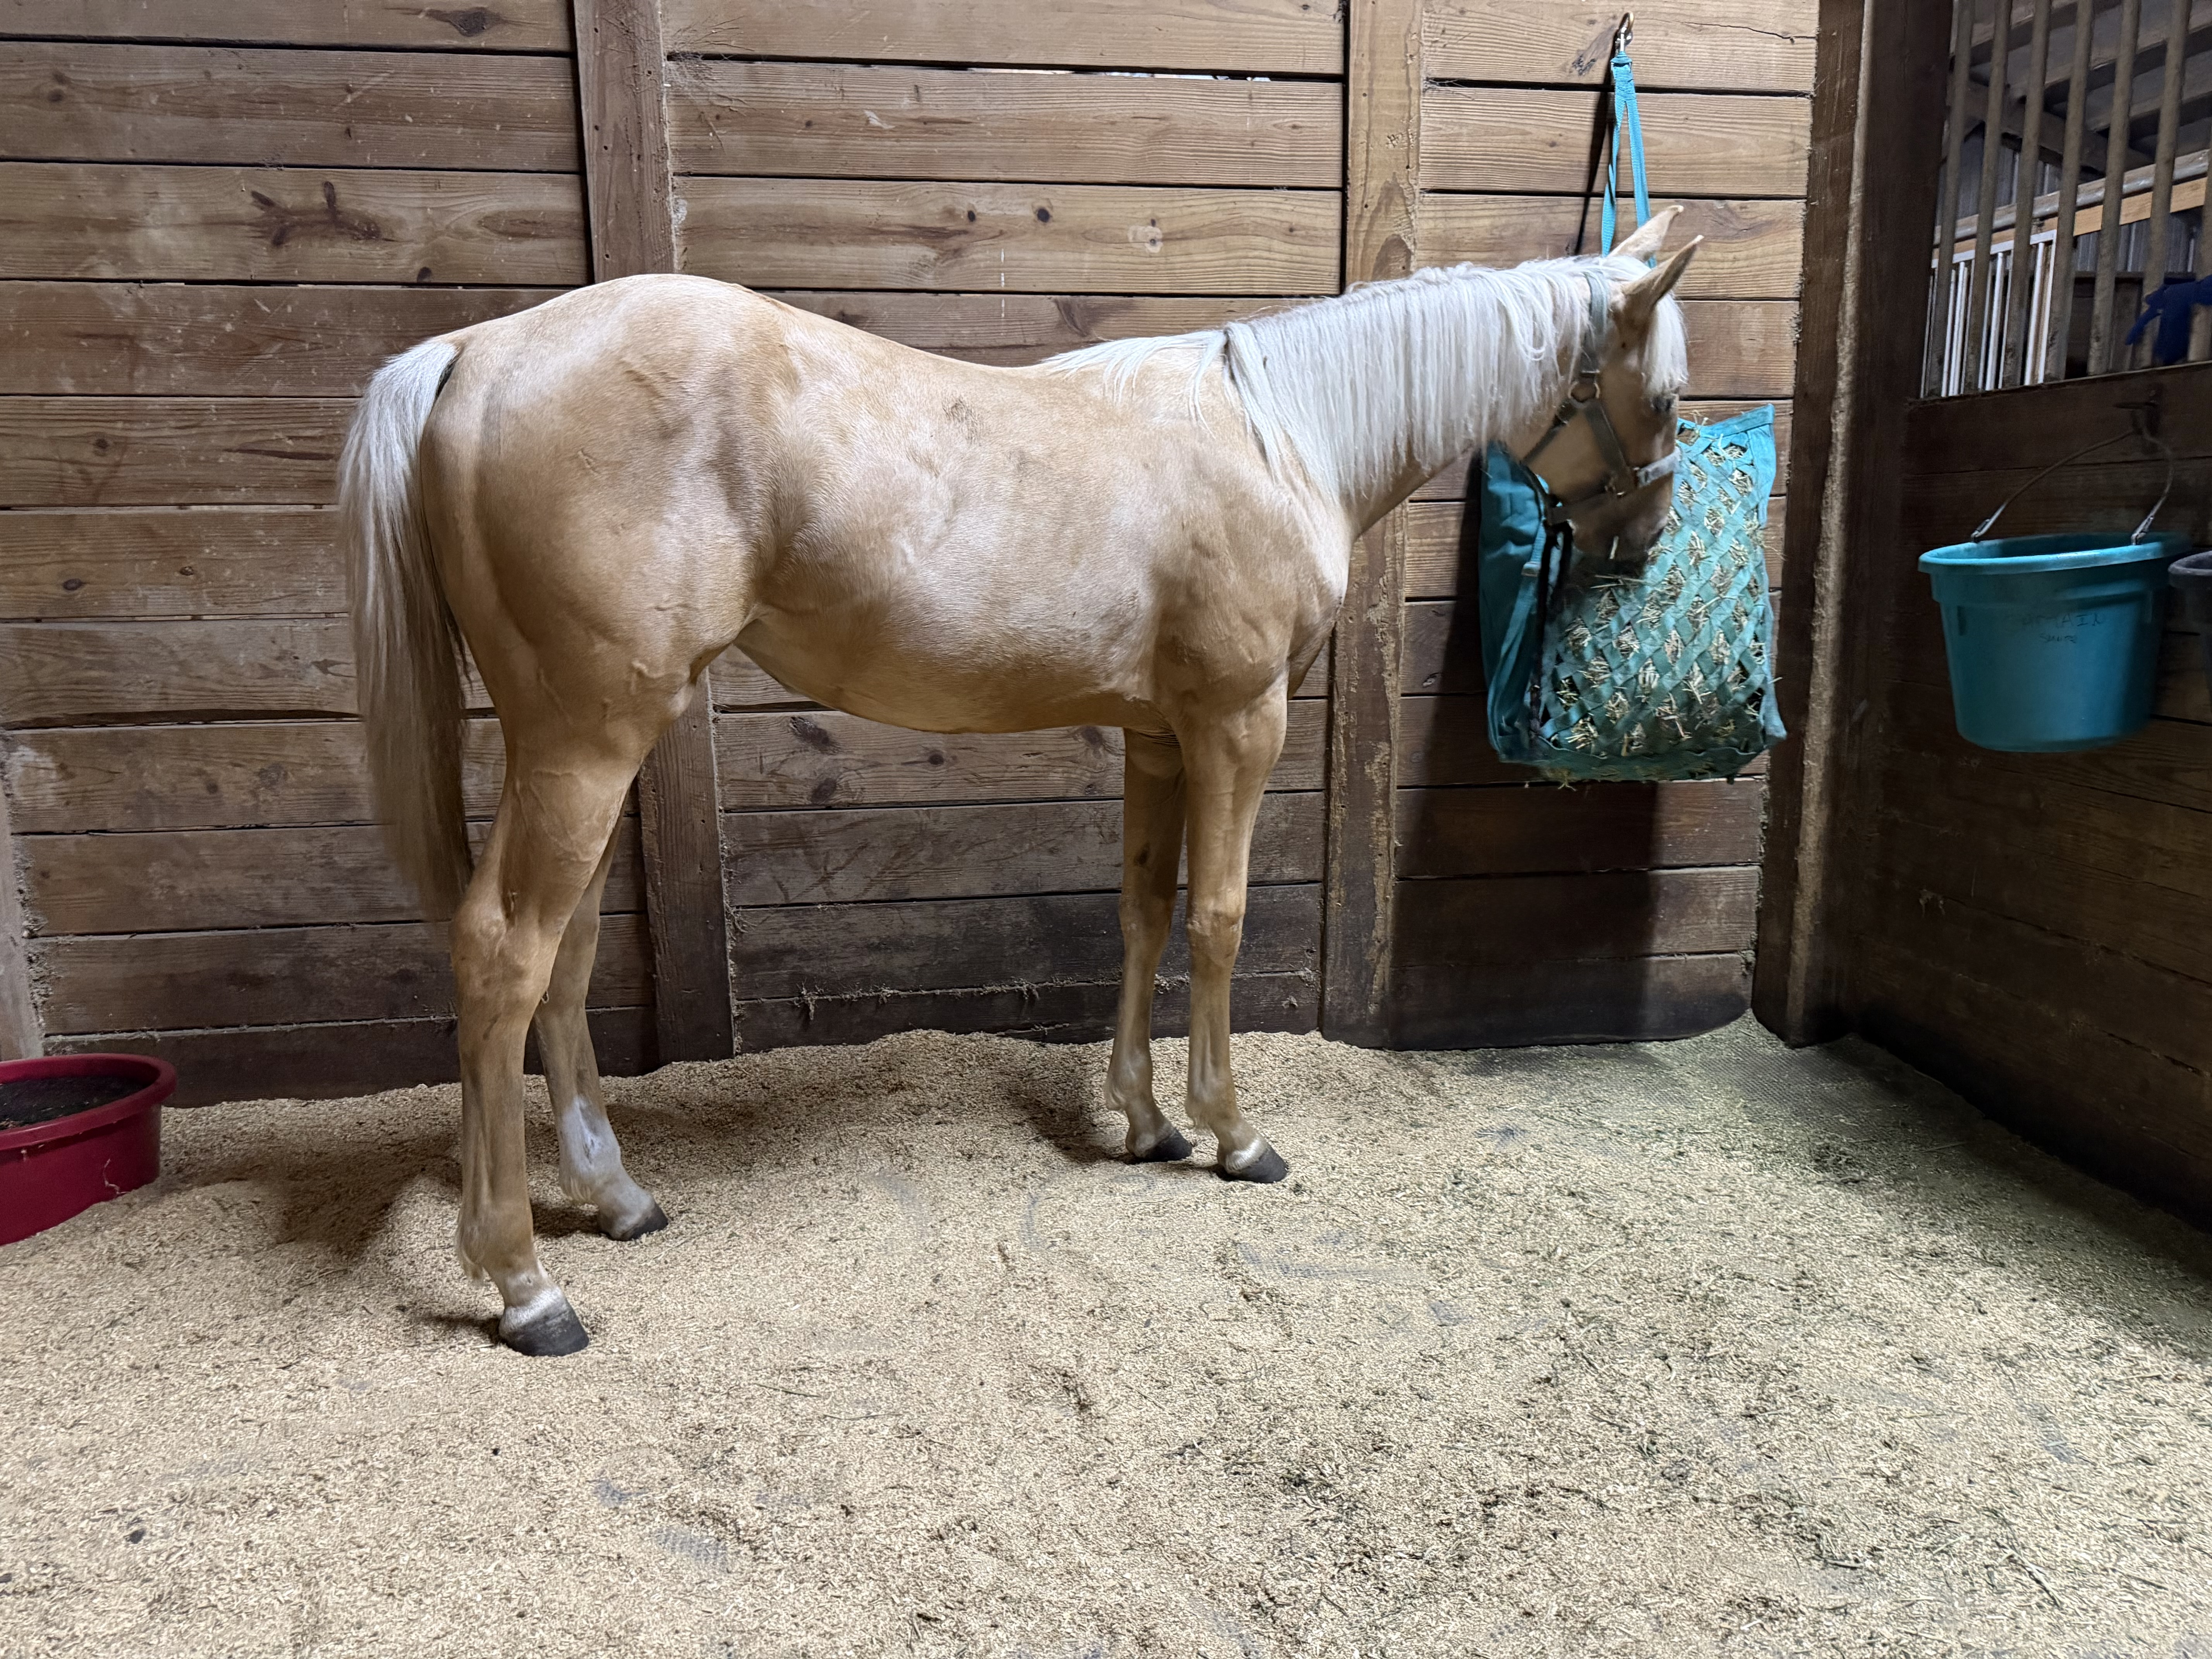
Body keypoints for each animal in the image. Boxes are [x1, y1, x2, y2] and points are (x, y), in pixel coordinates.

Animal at [340, 207, 1698, 1355]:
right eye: (1668, 396)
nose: (1643, 548)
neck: (1280, 437)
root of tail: (474, 352)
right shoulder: (1237, 724)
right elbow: (1218, 919)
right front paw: (1234, 1135)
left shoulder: (1160, 738)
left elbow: (1144, 912)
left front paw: (1145, 1122)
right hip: (588, 738)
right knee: (505, 951)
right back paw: (525, 1284)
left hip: (582, 739)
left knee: (559, 957)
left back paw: (615, 1196)